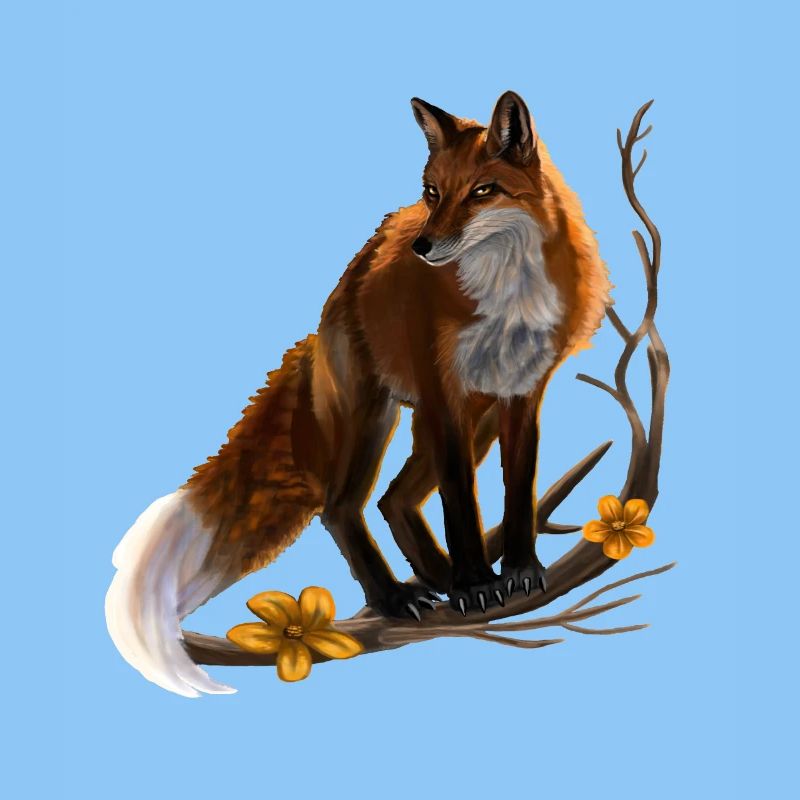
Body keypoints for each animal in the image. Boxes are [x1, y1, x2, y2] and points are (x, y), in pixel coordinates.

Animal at [105, 91, 610, 697]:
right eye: (433, 192)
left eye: (483, 191)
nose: (422, 247)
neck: (507, 294)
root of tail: (340, 292)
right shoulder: (444, 395)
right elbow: (461, 505)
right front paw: (472, 584)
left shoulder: (521, 395)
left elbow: (517, 492)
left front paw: (518, 572)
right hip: (376, 418)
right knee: (341, 507)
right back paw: (395, 595)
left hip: (471, 417)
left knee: (393, 498)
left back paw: (434, 577)